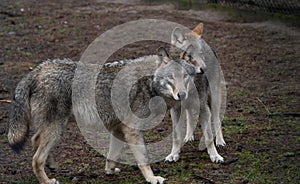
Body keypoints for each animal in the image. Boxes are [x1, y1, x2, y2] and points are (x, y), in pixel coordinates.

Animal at [7, 47, 196, 184]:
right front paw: (151, 178)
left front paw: (110, 171)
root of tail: (37, 70)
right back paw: (47, 180)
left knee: (35, 141)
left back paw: (51, 165)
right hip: (57, 130)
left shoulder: (118, 129)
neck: (149, 81)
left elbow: (112, 155)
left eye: (185, 76)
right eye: (171, 77)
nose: (182, 95)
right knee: (36, 158)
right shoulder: (132, 130)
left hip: (56, 129)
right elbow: (144, 159)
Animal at [165, 22, 226, 162]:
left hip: (214, 100)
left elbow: (208, 136)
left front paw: (215, 156)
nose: (204, 69)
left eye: (201, 53)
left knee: (217, 119)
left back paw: (220, 141)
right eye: (190, 56)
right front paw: (174, 154)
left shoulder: (204, 108)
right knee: (190, 117)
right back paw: (188, 137)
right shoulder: (175, 110)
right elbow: (176, 136)